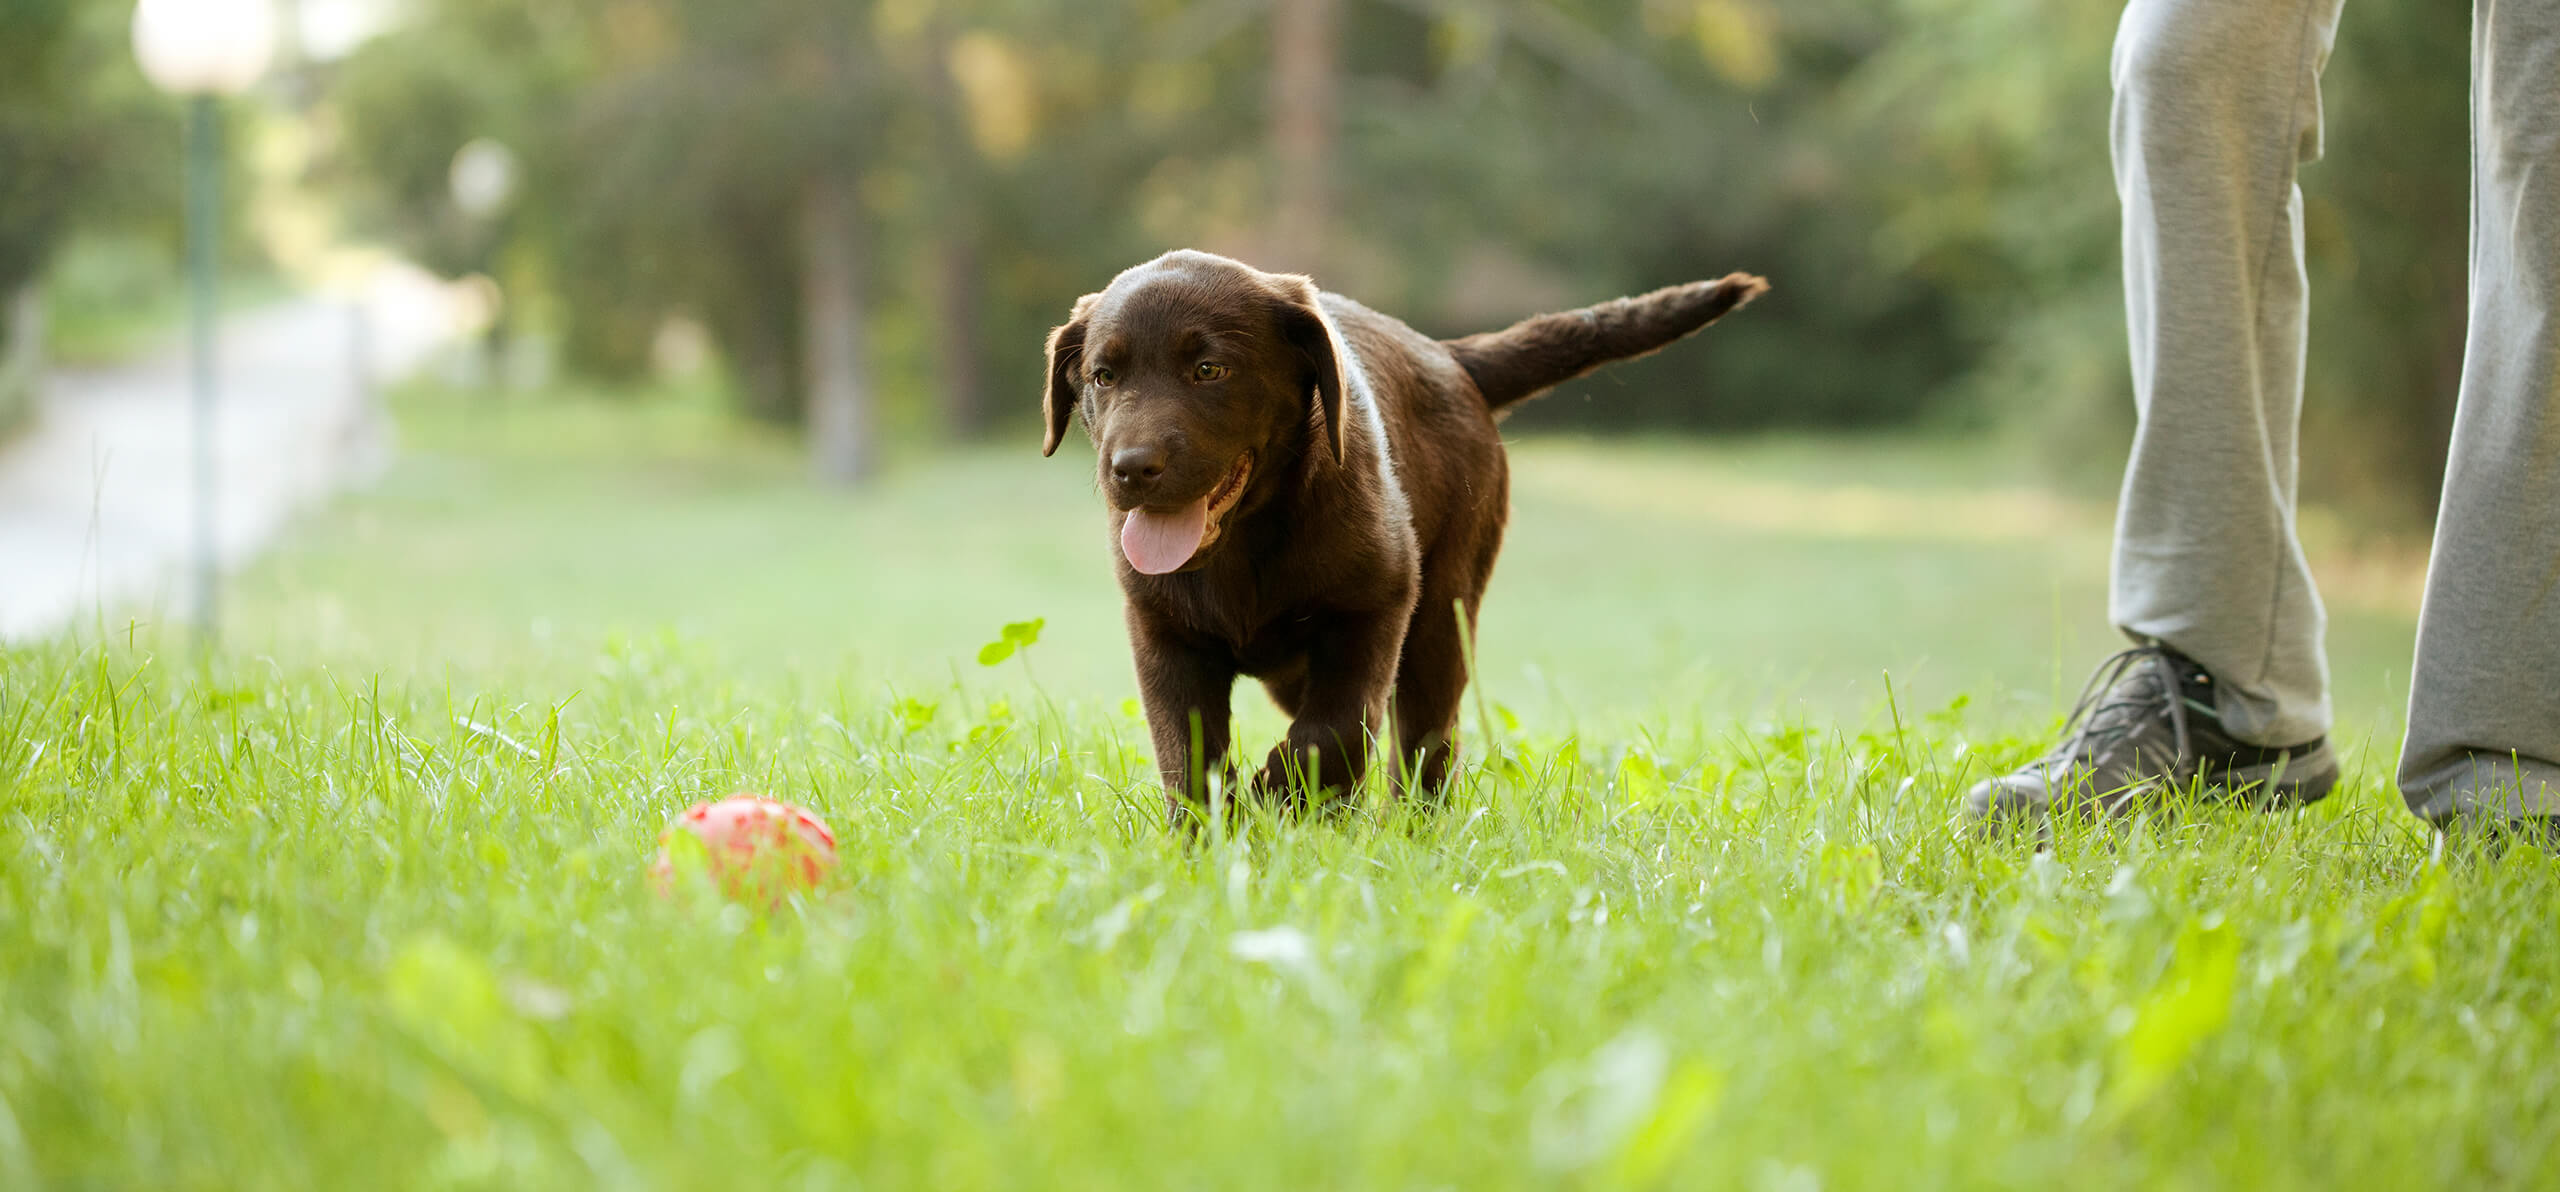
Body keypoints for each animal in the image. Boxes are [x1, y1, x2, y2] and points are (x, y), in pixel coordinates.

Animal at [1039, 251, 1761, 818]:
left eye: (1209, 370)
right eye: (1104, 377)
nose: (1132, 468)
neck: (1245, 541)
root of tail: (1449, 356)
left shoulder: (1376, 604)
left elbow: (1332, 731)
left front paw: (1275, 794)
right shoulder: (1163, 632)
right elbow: (1188, 755)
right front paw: (1210, 840)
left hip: (1442, 616)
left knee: (1424, 744)